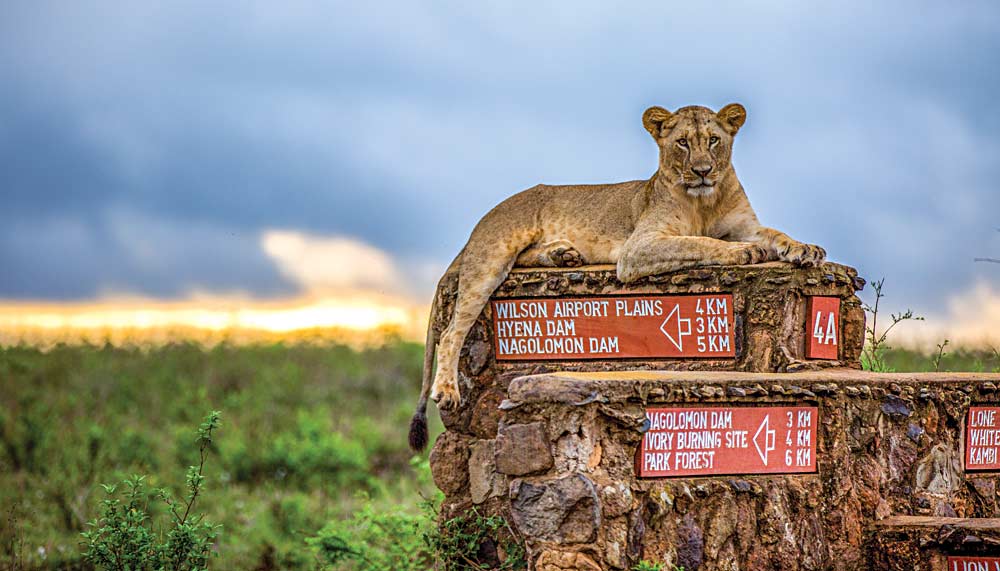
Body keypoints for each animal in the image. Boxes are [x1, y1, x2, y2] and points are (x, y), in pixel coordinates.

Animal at [406, 103, 820, 452]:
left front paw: (805, 249)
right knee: (451, 332)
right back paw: (448, 390)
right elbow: (700, 241)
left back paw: (562, 254)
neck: (705, 200)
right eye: (683, 143)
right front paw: (744, 253)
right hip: (491, 259)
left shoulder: (745, 225)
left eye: (714, 140)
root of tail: (484, 219)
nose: (703, 171)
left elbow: (776, 234)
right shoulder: (638, 247)